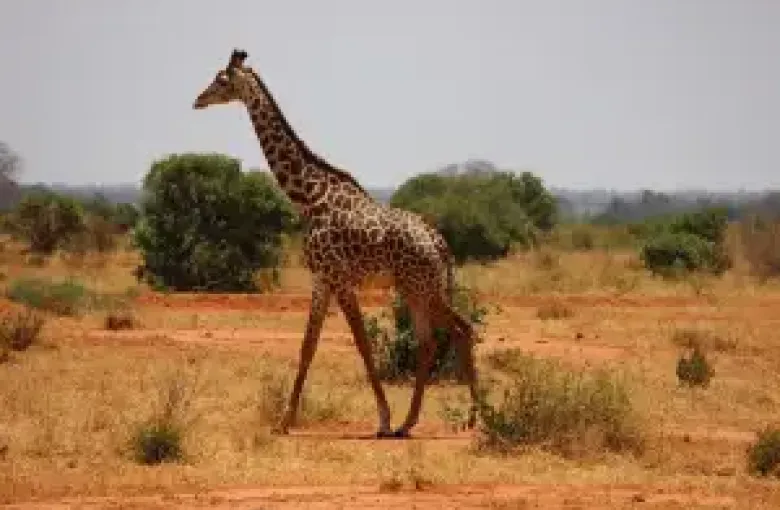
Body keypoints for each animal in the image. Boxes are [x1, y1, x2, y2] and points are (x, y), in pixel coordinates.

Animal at [192, 49, 478, 438]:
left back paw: (472, 418)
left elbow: (362, 344)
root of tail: (440, 244)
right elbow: (307, 346)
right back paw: (410, 423)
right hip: (415, 289)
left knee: (462, 330)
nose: (198, 100)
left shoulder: (339, 279)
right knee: (430, 341)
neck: (308, 196)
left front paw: (383, 419)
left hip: (423, 288)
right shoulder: (321, 280)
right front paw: (285, 421)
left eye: (221, 79)